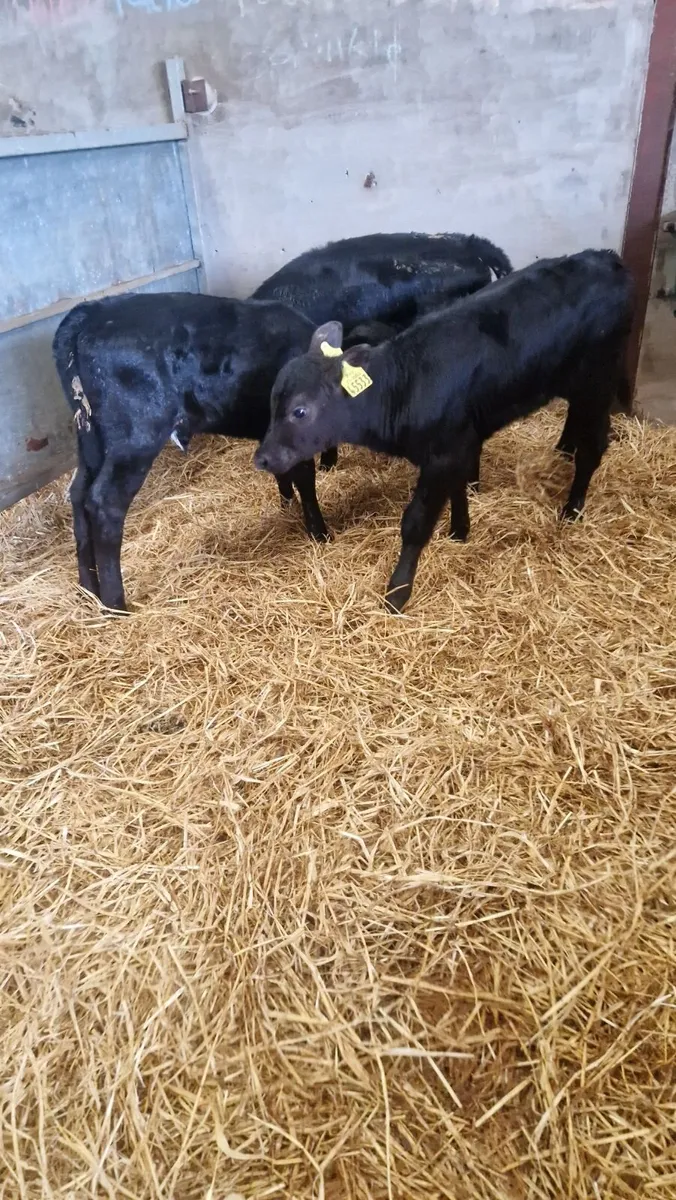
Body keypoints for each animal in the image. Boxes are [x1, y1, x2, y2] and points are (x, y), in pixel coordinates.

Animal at [255, 250, 634, 613]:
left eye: (300, 411)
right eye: (272, 402)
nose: (262, 458)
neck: (405, 386)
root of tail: (605, 258)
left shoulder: (442, 454)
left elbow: (416, 523)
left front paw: (397, 593)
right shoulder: (458, 444)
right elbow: (458, 487)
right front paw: (459, 531)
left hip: (598, 380)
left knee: (594, 445)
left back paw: (572, 508)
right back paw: (563, 449)